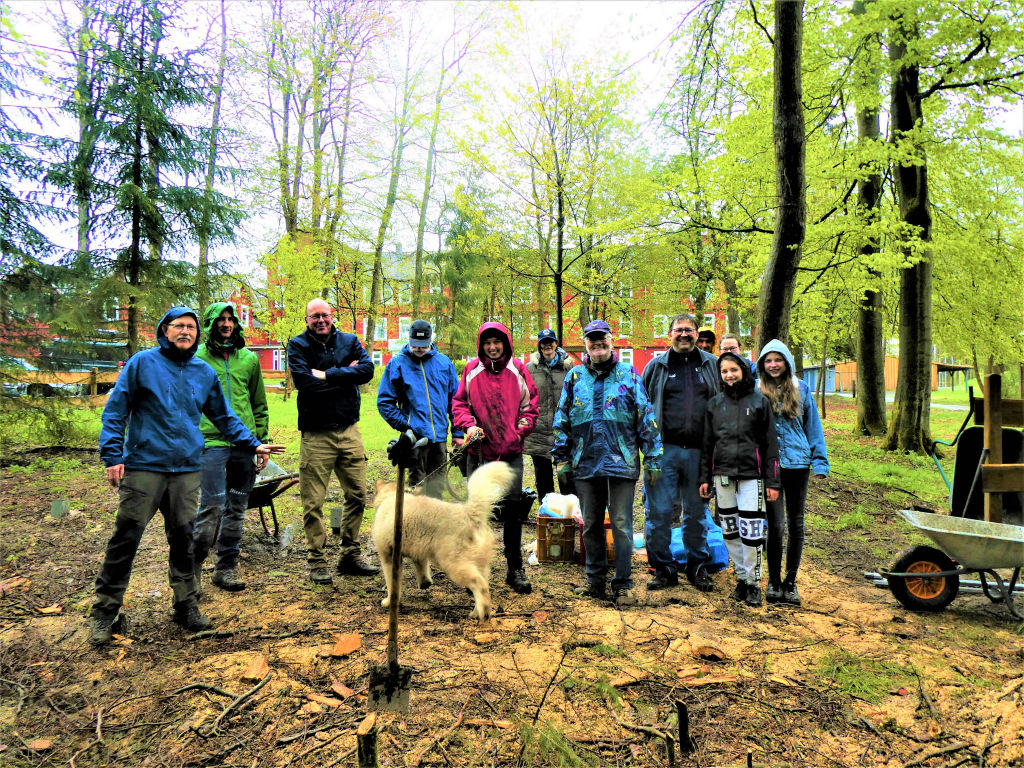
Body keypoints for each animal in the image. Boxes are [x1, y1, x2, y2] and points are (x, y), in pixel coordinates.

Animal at [372, 460, 516, 622]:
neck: (390, 498)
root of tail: (469, 514)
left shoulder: (388, 557)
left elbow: (392, 585)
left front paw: (389, 601)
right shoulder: (418, 554)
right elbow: (422, 568)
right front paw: (425, 583)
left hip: (454, 565)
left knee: (480, 585)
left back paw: (484, 613)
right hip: (479, 565)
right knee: (483, 585)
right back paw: (475, 612)